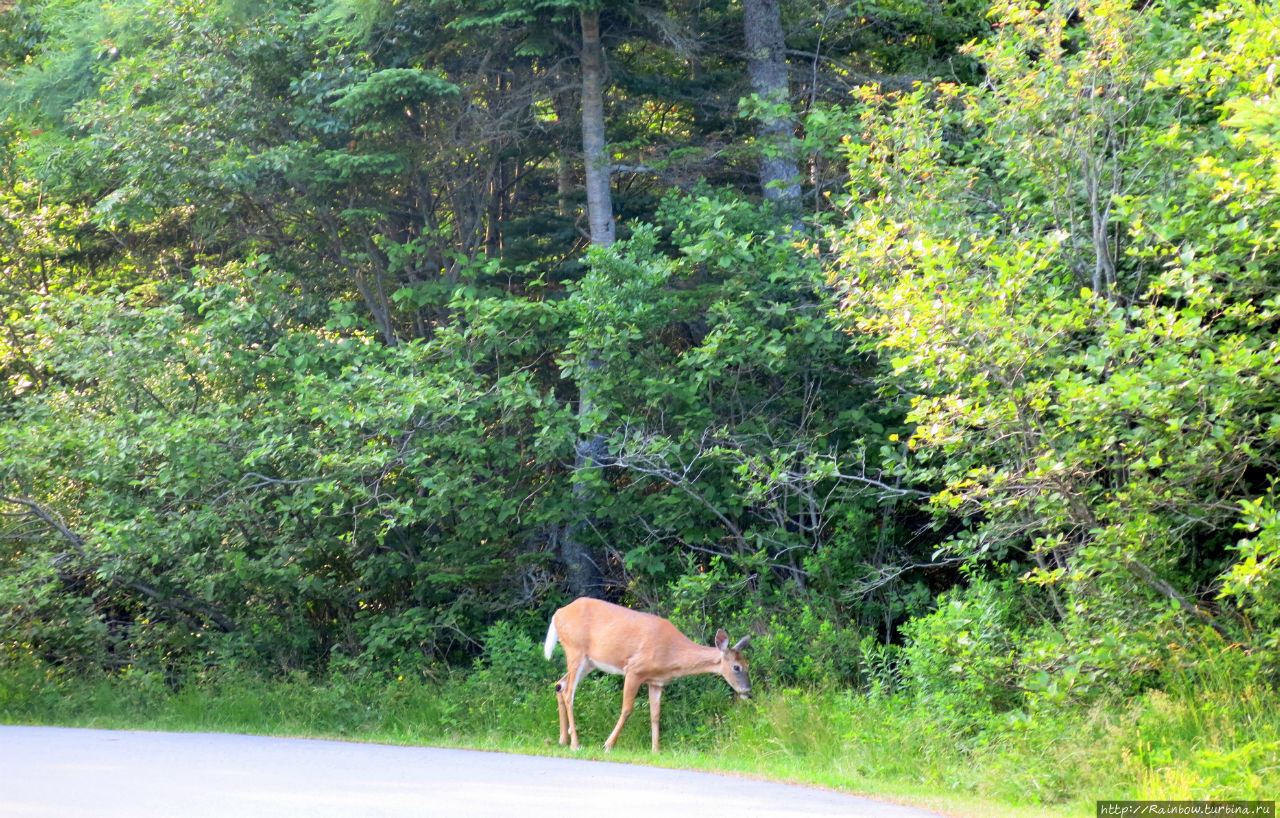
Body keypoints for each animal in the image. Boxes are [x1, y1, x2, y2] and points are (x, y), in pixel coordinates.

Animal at [540, 593, 747, 757]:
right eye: (737, 667)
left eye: (748, 665)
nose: (748, 691)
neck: (671, 652)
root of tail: (558, 613)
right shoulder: (634, 670)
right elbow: (627, 709)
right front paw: (608, 745)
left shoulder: (656, 682)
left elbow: (655, 714)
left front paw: (656, 750)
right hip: (575, 650)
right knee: (569, 693)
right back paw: (575, 744)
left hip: (589, 662)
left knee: (560, 685)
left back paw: (563, 740)